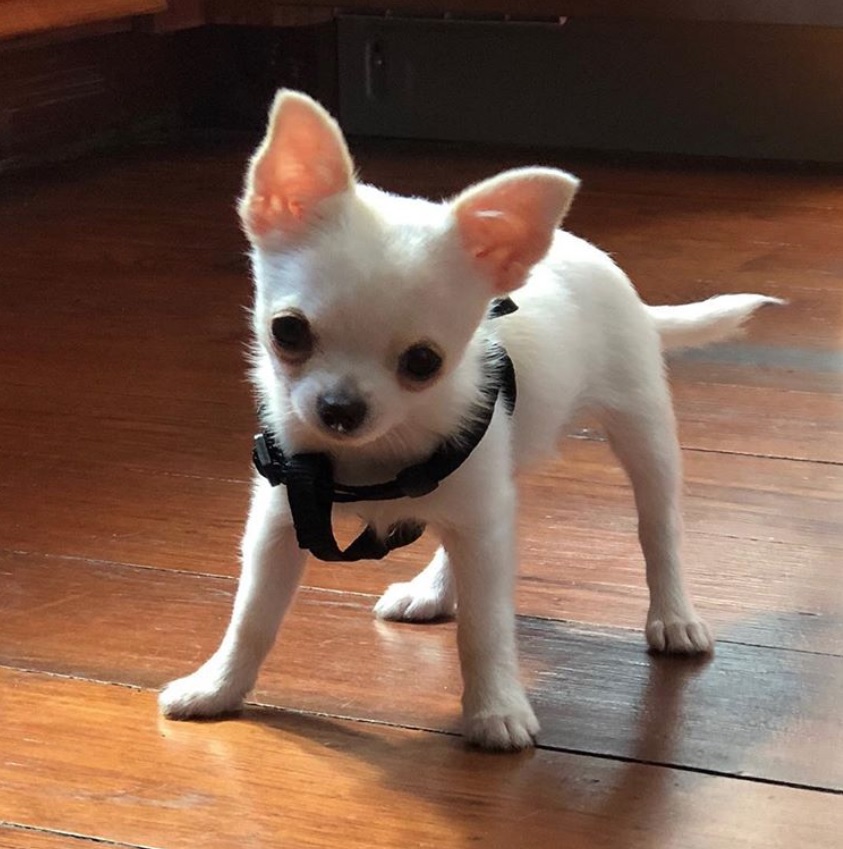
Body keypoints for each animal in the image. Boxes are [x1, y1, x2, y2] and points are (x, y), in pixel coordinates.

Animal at [160, 88, 784, 748]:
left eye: (423, 362)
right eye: (287, 332)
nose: (340, 410)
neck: (372, 459)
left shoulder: (484, 531)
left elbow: (485, 630)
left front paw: (495, 710)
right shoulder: (282, 520)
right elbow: (251, 616)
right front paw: (216, 688)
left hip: (643, 433)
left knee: (658, 530)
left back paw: (673, 616)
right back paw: (432, 591)